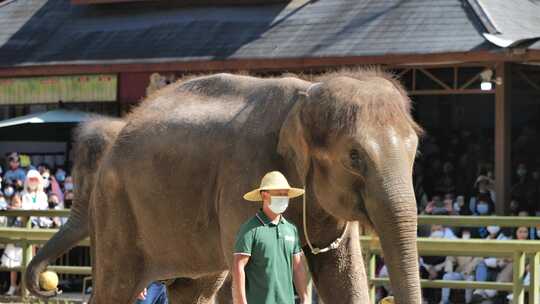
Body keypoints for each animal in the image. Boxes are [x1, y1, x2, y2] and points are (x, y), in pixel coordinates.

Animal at [25, 69, 422, 304]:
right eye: (355, 156)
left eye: (416, 150)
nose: (45, 283)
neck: (308, 92)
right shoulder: (244, 174)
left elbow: (344, 275)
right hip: (116, 209)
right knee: (116, 288)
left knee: (193, 289)